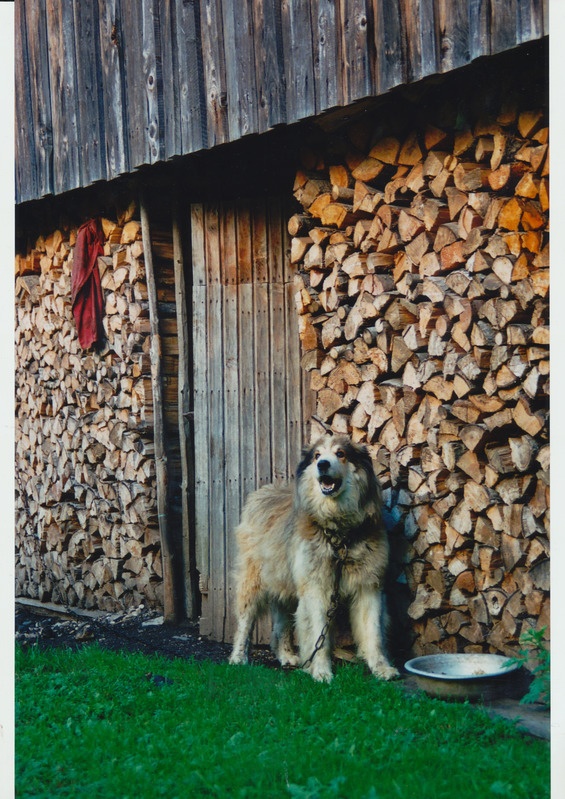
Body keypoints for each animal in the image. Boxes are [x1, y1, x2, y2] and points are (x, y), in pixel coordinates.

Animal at [228, 434, 396, 684]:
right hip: (253, 581)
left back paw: (286, 655)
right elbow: (318, 635)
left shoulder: (369, 586)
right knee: (244, 621)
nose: (322, 464)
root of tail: (262, 492)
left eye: (340, 454)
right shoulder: (316, 588)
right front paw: (321, 671)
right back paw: (238, 657)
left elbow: (373, 632)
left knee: (281, 624)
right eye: (317, 455)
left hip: (285, 582)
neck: (339, 533)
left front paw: (381, 668)